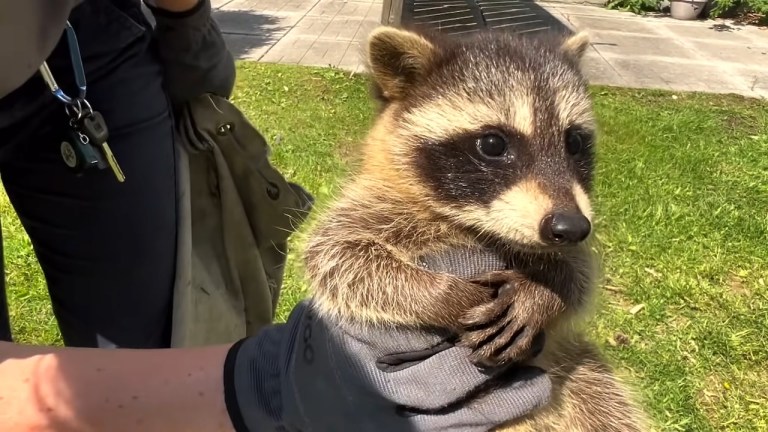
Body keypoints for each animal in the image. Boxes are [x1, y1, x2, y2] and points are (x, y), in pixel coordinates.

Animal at [300, 25, 648, 430]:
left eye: (574, 141)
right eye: (493, 144)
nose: (571, 227)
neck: (475, 228)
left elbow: (581, 271)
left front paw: (547, 288)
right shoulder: (370, 206)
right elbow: (335, 256)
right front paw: (444, 295)